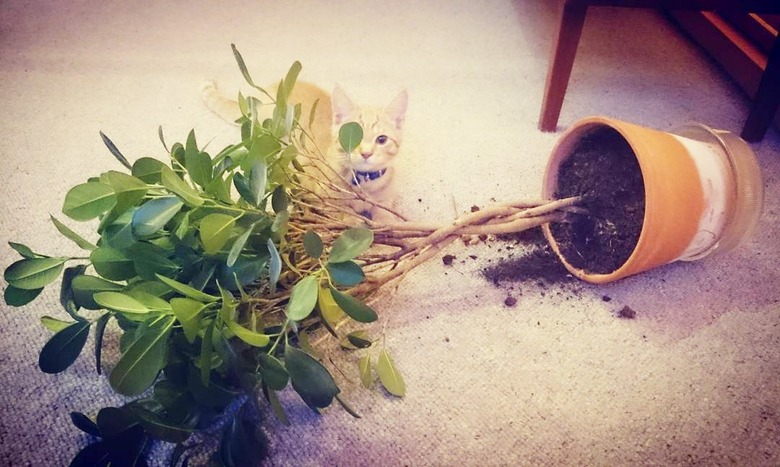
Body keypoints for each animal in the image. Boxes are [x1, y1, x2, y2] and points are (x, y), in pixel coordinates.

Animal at [201, 79, 408, 222]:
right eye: (349, 138)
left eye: (381, 140)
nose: (366, 153)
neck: (364, 184)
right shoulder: (318, 194)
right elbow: (341, 211)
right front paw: (353, 219)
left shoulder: (387, 200)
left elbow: (387, 216)